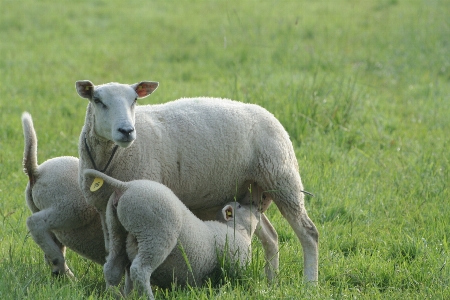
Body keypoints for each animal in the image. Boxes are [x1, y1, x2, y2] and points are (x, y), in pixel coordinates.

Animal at [75, 79, 318, 282]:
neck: (111, 157)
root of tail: (268, 114)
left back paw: (309, 283)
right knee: (270, 236)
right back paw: (271, 281)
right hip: (251, 193)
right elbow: (112, 253)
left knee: (309, 233)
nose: (126, 131)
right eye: (98, 101)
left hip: (282, 178)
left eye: (134, 100)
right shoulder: (104, 210)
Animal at [84, 169, 260, 300]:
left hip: (116, 229)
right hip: (155, 233)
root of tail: (125, 186)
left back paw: (113, 295)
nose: (256, 207)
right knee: (139, 270)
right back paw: (148, 297)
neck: (238, 231)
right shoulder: (236, 263)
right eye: (239, 206)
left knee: (112, 267)